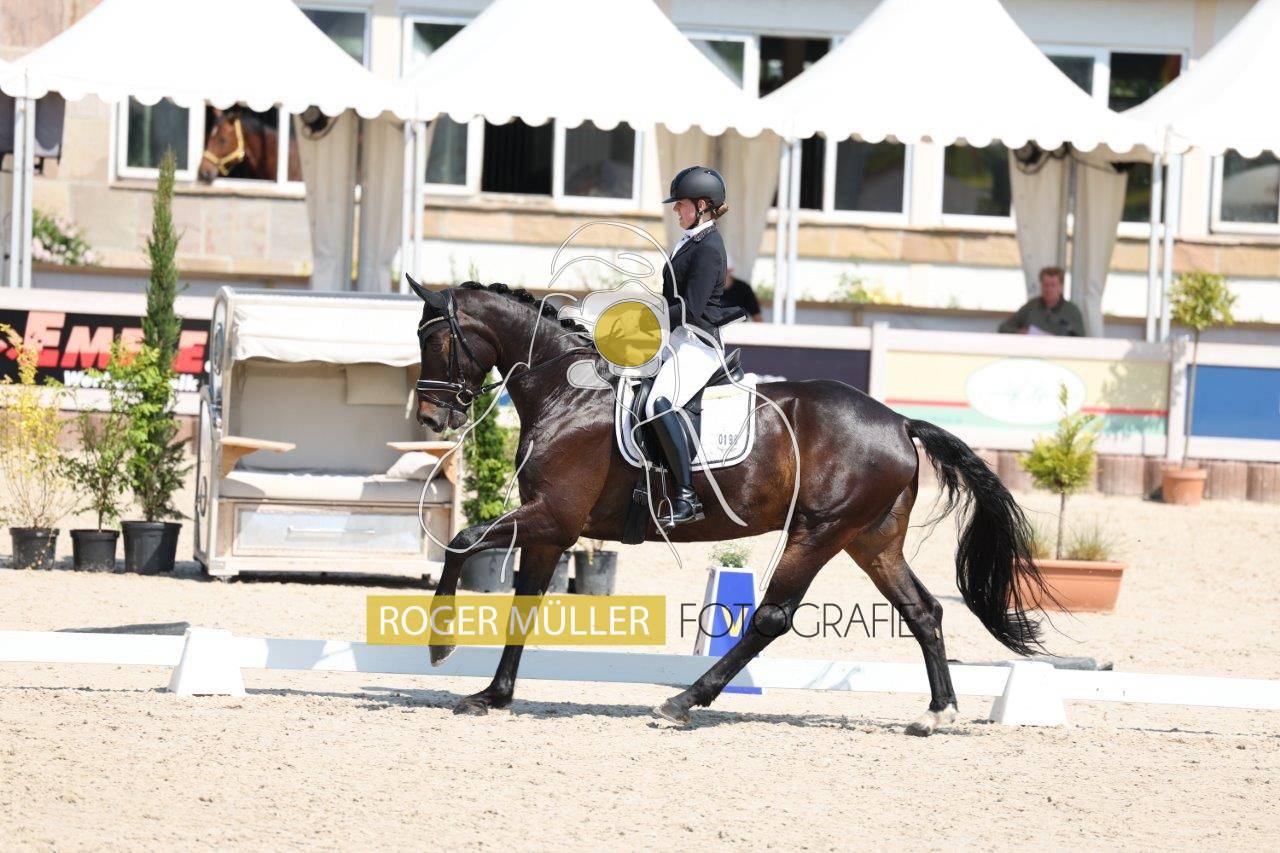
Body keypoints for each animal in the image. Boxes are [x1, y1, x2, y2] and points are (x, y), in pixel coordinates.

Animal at [410, 279, 1049, 736]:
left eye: (433, 340)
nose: (431, 419)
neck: (567, 391)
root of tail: (897, 421)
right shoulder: (550, 529)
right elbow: (524, 603)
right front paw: (493, 695)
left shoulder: (554, 517)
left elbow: (462, 541)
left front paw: (441, 648)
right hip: (871, 539)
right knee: (923, 612)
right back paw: (937, 712)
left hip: (818, 532)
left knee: (772, 617)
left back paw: (683, 701)